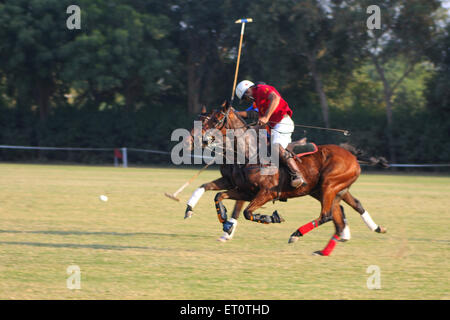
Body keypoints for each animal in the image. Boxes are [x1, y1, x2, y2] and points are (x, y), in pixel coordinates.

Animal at [184, 101, 386, 256]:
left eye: (216, 119)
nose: (196, 141)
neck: (248, 152)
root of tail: (352, 156)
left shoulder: (266, 193)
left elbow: (247, 212)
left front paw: (270, 218)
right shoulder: (244, 189)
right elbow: (216, 194)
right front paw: (215, 217)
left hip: (329, 185)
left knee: (327, 215)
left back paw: (297, 234)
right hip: (326, 189)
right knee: (344, 211)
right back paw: (330, 247)